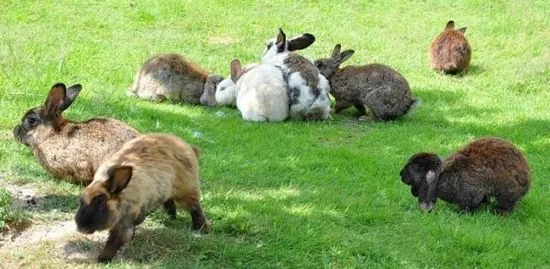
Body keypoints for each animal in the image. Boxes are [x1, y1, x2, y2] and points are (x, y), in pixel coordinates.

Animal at [74, 133, 208, 262]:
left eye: (100, 202)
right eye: (82, 200)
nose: (80, 227)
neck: (122, 195)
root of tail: (186, 146)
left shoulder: (125, 221)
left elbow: (116, 239)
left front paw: (103, 259)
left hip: (187, 190)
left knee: (195, 209)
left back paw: (201, 230)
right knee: (170, 202)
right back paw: (171, 218)